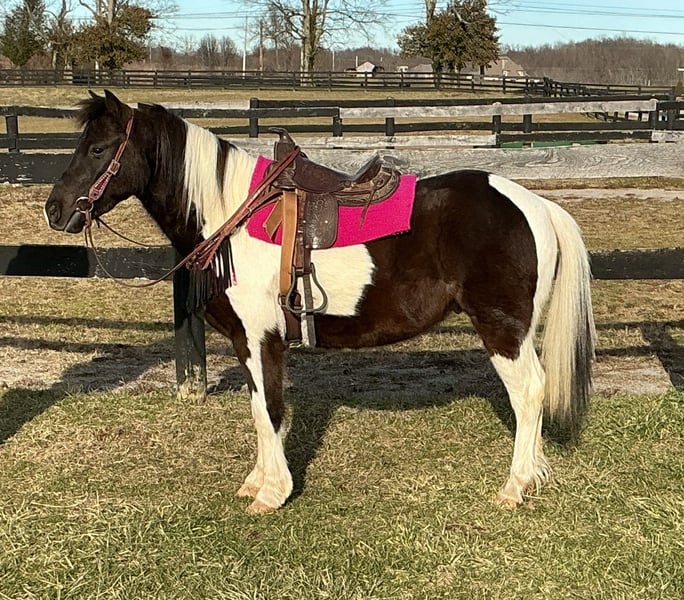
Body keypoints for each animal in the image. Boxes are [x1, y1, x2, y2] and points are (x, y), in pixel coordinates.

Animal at [45, 90, 595, 514]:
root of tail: (535, 204)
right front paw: (258, 480)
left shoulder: (261, 337)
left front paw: (272, 494)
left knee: (529, 393)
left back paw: (515, 486)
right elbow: (260, 408)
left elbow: (269, 409)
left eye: (98, 148)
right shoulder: (249, 342)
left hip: (503, 330)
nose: (54, 209)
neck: (231, 216)